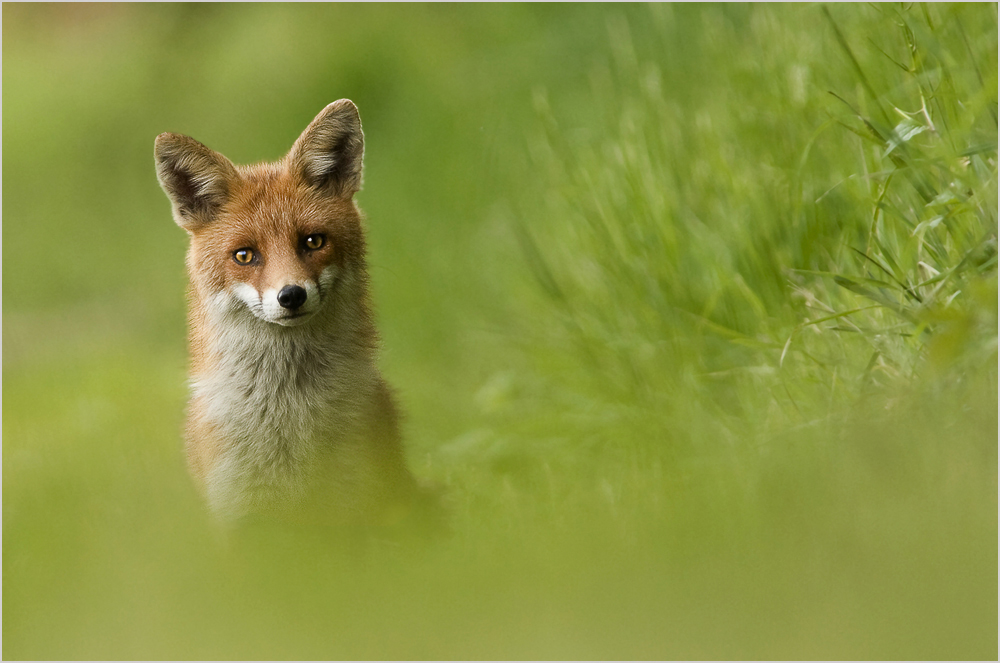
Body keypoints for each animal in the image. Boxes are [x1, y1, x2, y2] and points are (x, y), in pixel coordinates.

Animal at [155, 100, 426, 528]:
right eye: (244, 255)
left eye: (313, 241)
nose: (291, 296)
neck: (288, 418)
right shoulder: (240, 511)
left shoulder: (354, 505)